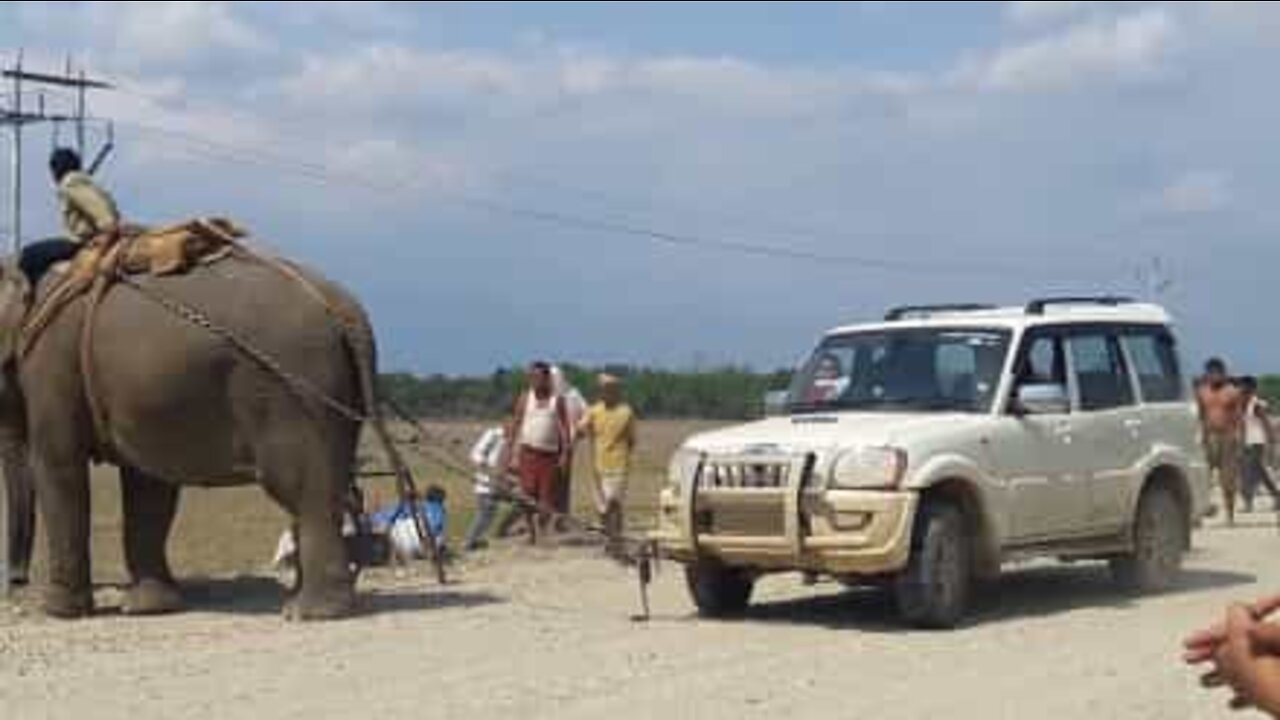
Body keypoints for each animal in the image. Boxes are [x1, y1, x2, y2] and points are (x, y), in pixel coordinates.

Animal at [0, 251, 386, 617]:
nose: (16, 582)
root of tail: (347, 309)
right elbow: (148, 482)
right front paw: (148, 608)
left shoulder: (50, 365)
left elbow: (59, 466)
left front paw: (58, 611)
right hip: (332, 395)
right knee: (326, 491)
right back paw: (303, 600)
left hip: (296, 393)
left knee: (303, 490)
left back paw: (308, 612)